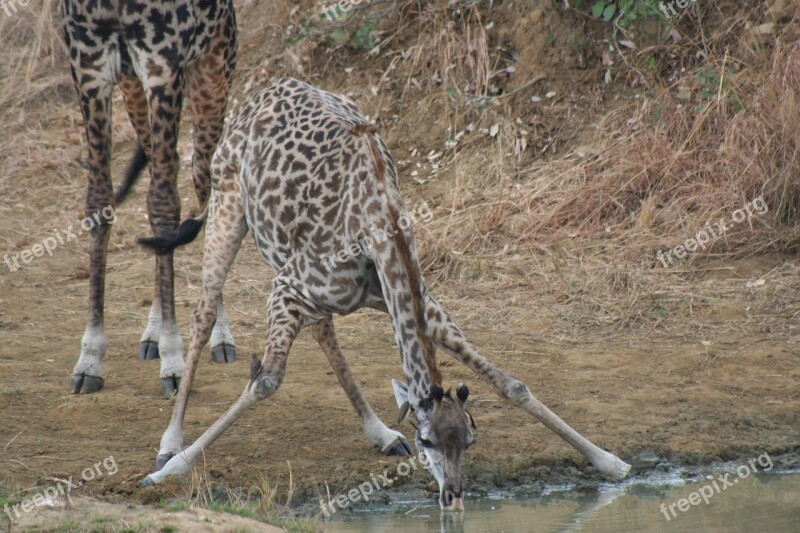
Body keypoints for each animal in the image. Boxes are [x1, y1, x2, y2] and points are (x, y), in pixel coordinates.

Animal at [63, 0, 239, 392]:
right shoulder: (89, 67)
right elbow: (99, 202)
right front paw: (90, 358)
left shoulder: (163, 66)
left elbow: (163, 203)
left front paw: (174, 360)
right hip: (133, 91)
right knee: (167, 175)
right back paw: (153, 333)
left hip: (213, 76)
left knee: (205, 190)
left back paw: (219, 335)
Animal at [138, 78, 628, 508]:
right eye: (426, 439)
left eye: (470, 440)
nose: (453, 496)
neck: (381, 228)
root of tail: (261, 92)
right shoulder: (288, 287)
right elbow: (266, 381)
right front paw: (167, 472)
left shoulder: (414, 302)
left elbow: (512, 383)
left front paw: (611, 462)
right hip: (228, 206)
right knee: (204, 310)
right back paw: (169, 440)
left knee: (323, 329)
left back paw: (380, 433)